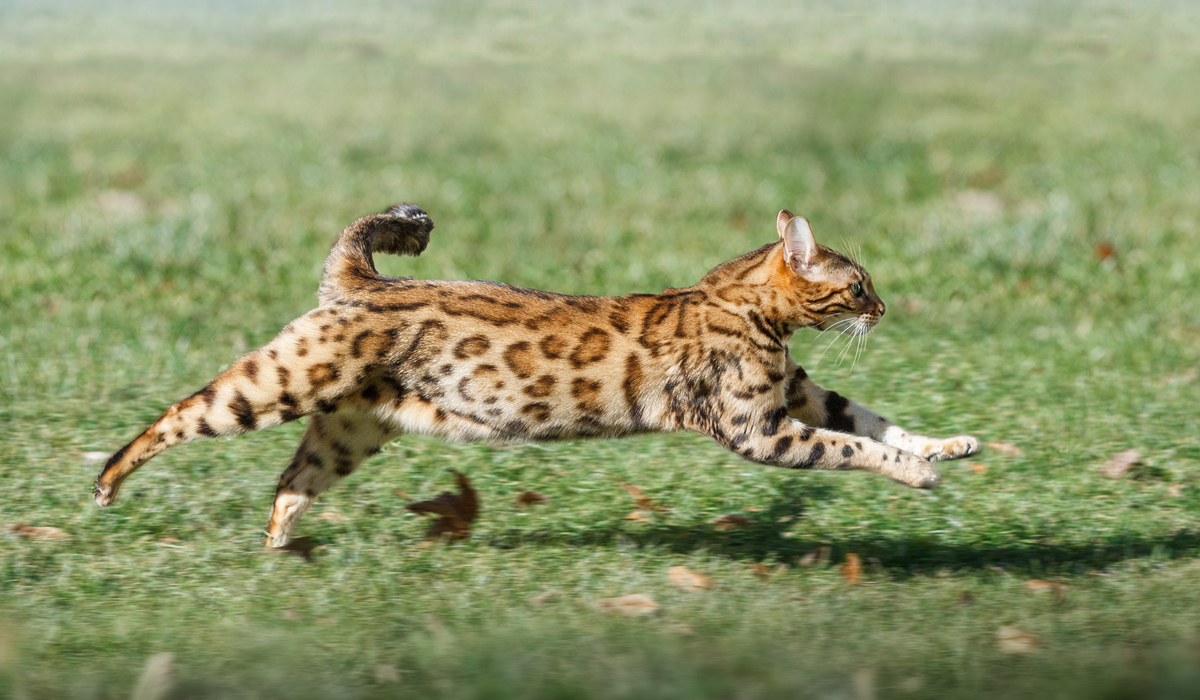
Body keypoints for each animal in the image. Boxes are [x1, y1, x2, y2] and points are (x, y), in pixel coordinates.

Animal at [93, 205, 974, 545]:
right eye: (856, 285)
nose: (884, 306)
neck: (742, 304)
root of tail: (360, 278)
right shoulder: (758, 429)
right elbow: (856, 448)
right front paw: (919, 475)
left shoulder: (798, 394)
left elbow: (877, 421)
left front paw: (950, 448)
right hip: (272, 383)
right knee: (177, 415)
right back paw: (107, 481)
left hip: (349, 428)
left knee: (288, 482)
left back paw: (282, 551)